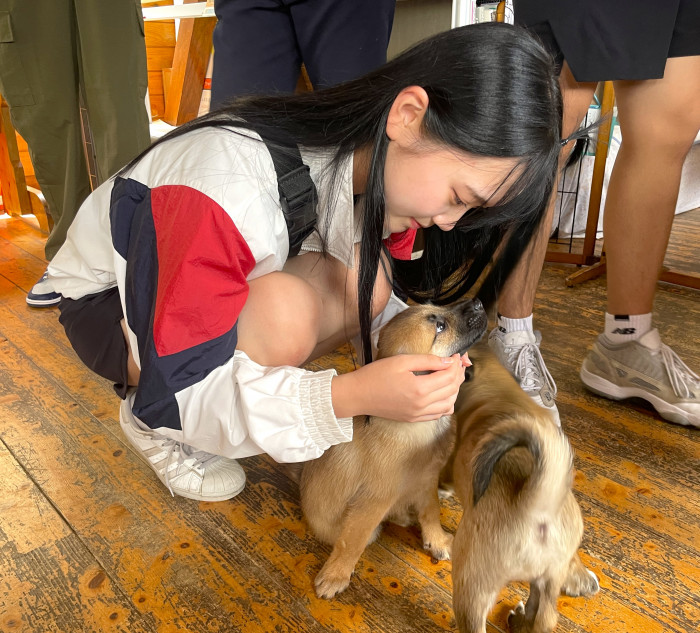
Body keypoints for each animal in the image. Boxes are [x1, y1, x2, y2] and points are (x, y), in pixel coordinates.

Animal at [300, 298, 486, 600]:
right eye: (439, 327)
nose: (479, 303)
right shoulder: (373, 501)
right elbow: (351, 542)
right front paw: (336, 575)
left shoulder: (426, 481)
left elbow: (431, 512)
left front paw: (437, 540)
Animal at [446, 344, 600, 628]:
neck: (500, 394)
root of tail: (537, 506)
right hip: (548, 578)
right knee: (545, 616)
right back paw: (522, 620)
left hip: (471, 585)